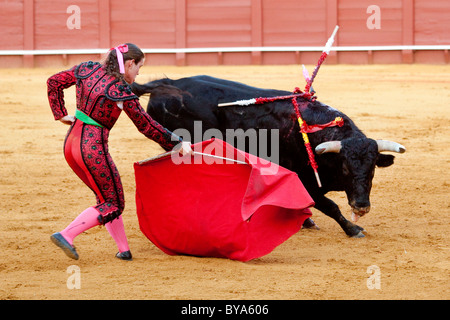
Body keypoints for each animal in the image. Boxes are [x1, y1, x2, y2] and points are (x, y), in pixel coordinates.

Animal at [132, 75, 406, 238]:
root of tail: (166, 83)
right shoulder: (307, 181)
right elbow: (329, 206)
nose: (361, 206)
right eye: (346, 168)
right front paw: (352, 228)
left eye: (372, 169)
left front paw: (305, 222)